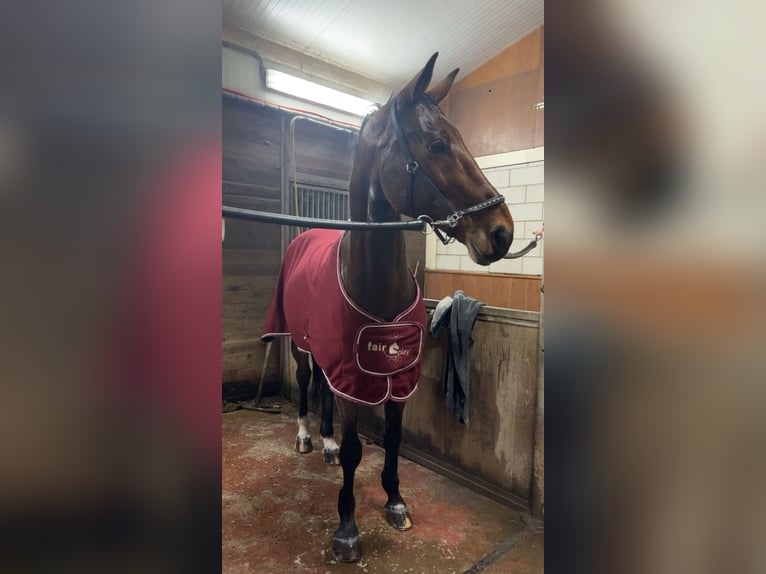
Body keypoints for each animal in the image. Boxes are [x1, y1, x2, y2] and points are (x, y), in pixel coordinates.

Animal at [262, 52, 514, 562]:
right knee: (306, 382)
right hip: (299, 342)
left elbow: (393, 440)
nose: (503, 232)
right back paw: (306, 438)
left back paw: (326, 442)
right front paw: (347, 528)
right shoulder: (355, 375)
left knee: (323, 389)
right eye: (436, 144)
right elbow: (358, 450)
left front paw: (395, 501)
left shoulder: (395, 374)